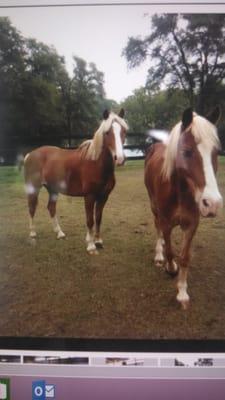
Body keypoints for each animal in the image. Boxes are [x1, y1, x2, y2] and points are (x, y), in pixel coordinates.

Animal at [24, 108, 128, 255]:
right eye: (107, 133)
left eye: (124, 131)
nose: (119, 159)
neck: (96, 163)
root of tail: (30, 154)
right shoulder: (89, 196)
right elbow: (90, 220)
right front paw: (91, 246)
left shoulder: (103, 196)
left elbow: (98, 218)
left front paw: (98, 241)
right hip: (34, 188)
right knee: (32, 208)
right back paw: (33, 233)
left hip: (53, 189)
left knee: (51, 207)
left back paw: (60, 233)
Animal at [145, 107, 222, 310]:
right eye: (187, 152)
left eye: (216, 152)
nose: (213, 203)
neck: (180, 191)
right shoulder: (166, 222)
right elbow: (171, 252)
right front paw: (170, 267)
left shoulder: (192, 224)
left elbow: (185, 257)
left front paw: (182, 293)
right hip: (154, 207)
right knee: (156, 227)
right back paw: (159, 254)